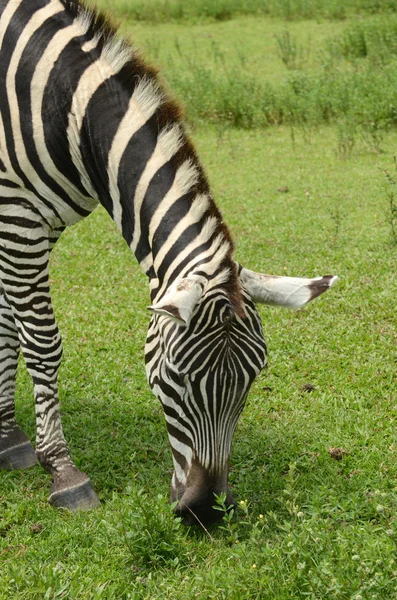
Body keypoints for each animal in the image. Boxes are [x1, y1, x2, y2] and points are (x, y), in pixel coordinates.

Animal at [0, 0, 336, 524]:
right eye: (173, 378)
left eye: (253, 379)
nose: (205, 511)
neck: (63, 105)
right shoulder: (17, 213)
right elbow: (40, 341)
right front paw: (62, 470)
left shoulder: (38, 222)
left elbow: (6, 326)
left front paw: (7, 438)